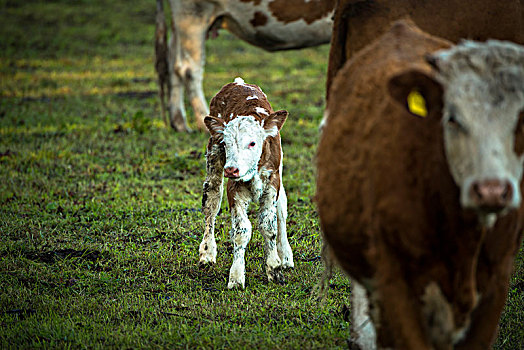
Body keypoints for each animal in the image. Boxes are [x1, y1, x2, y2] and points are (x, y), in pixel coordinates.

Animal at [201, 78, 294, 288]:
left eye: (252, 143)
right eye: (226, 143)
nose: (231, 169)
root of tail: (238, 82)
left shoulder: (272, 183)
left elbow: (269, 226)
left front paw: (275, 268)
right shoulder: (234, 188)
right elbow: (241, 230)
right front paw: (236, 277)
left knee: (282, 209)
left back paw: (286, 256)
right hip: (213, 159)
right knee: (211, 203)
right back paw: (207, 253)